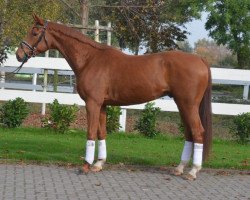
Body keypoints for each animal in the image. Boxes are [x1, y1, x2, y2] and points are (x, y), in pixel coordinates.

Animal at [16, 14, 211, 180]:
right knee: (189, 133)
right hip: (181, 104)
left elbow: (90, 132)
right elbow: (101, 132)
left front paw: (86, 166)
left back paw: (193, 171)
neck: (90, 59)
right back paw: (180, 168)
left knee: (197, 131)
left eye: (34, 32)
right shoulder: (102, 105)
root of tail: (200, 60)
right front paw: (98, 164)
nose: (19, 54)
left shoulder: (92, 103)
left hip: (188, 104)